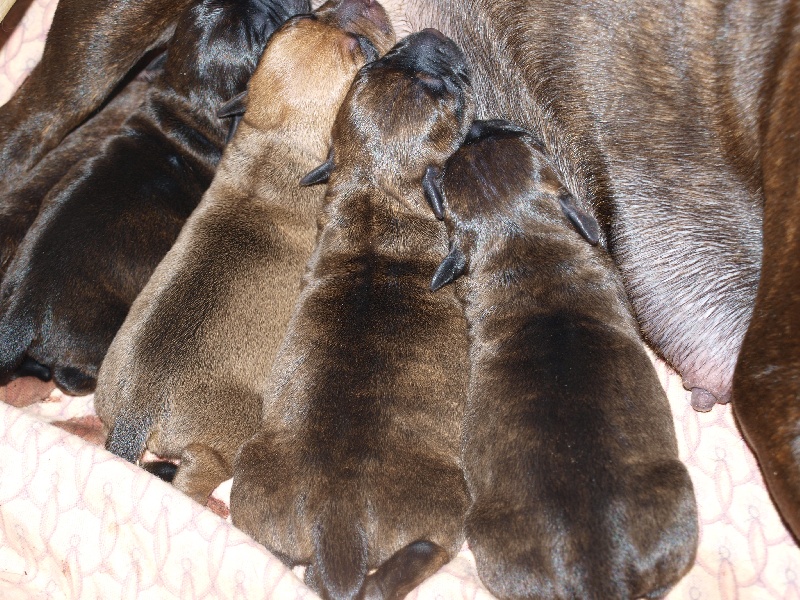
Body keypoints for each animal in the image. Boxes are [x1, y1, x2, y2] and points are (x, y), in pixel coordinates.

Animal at [95, 0, 396, 506]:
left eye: (303, 19)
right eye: (365, 55)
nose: (366, 6)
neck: (277, 148)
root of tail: (138, 410)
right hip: (230, 435)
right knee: (199, 474)